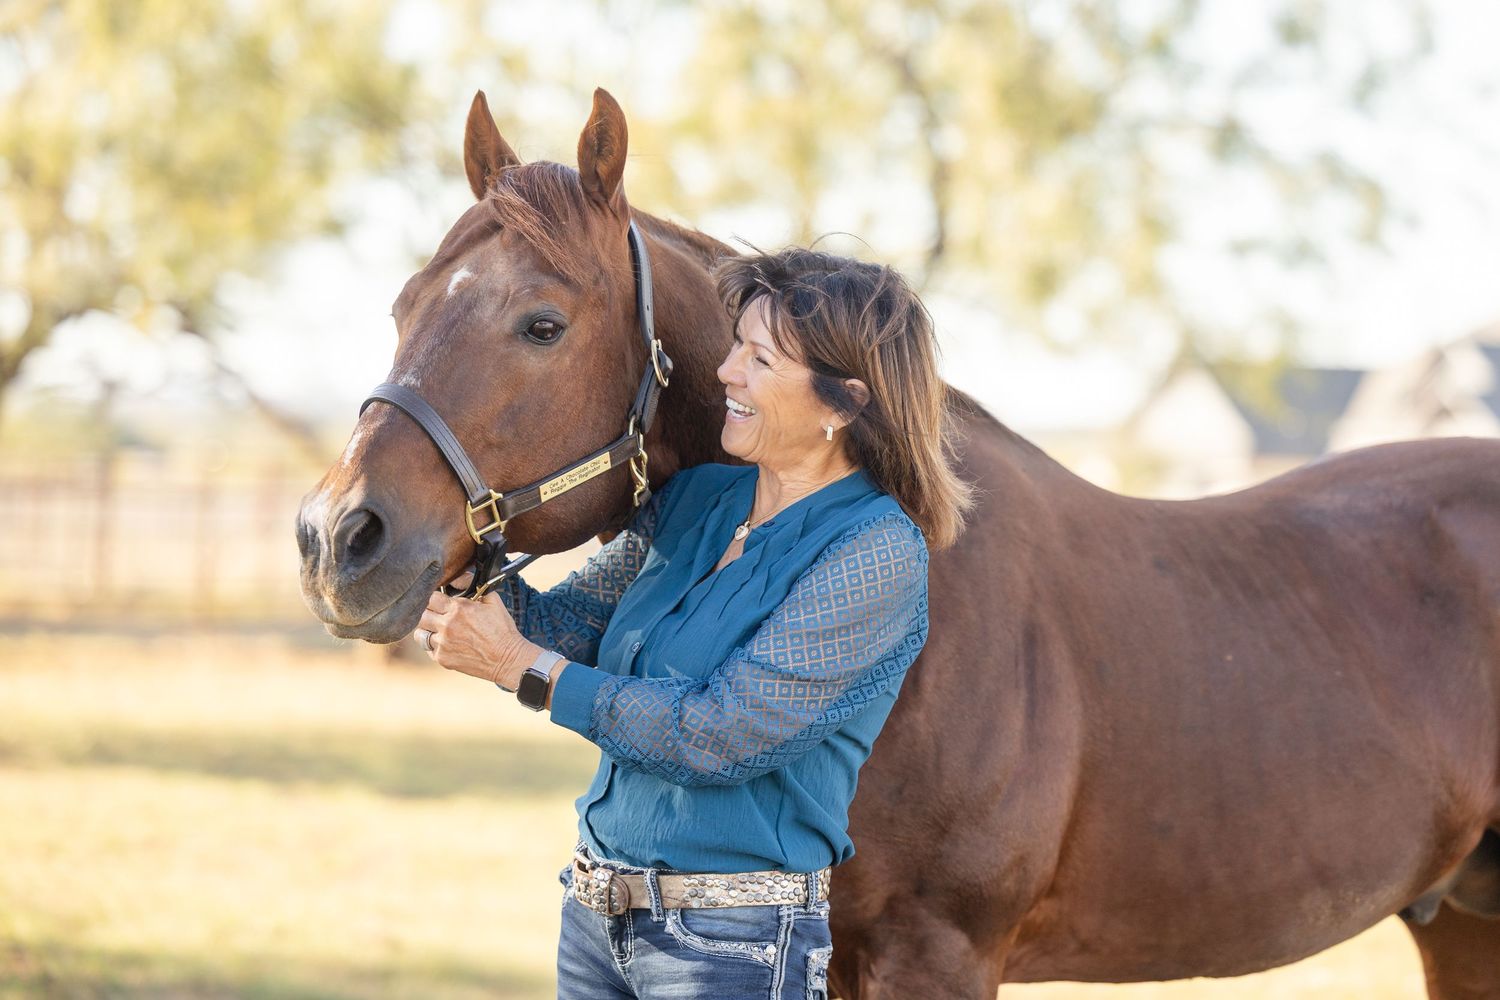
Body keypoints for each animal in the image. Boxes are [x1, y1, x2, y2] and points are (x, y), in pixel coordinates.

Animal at [297, 89, 1500, 998]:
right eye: (403, 306)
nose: (337, 537)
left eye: (541, 324)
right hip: (1462, 922)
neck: (939, 609)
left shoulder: (939, 954)